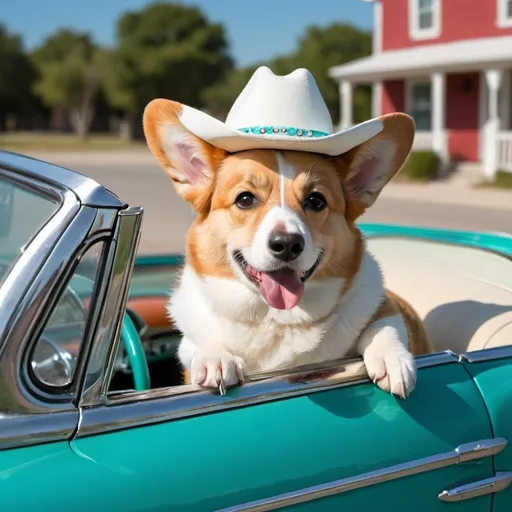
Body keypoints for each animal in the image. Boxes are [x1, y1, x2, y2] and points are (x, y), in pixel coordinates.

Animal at [143, 66, 432, 398]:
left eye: (316, 201)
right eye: (245, 199)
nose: (287, 244)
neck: (277, 320)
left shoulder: (388, 308)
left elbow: (384, 325)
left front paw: (391, 359)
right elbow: (198, 345)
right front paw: (216, 356)